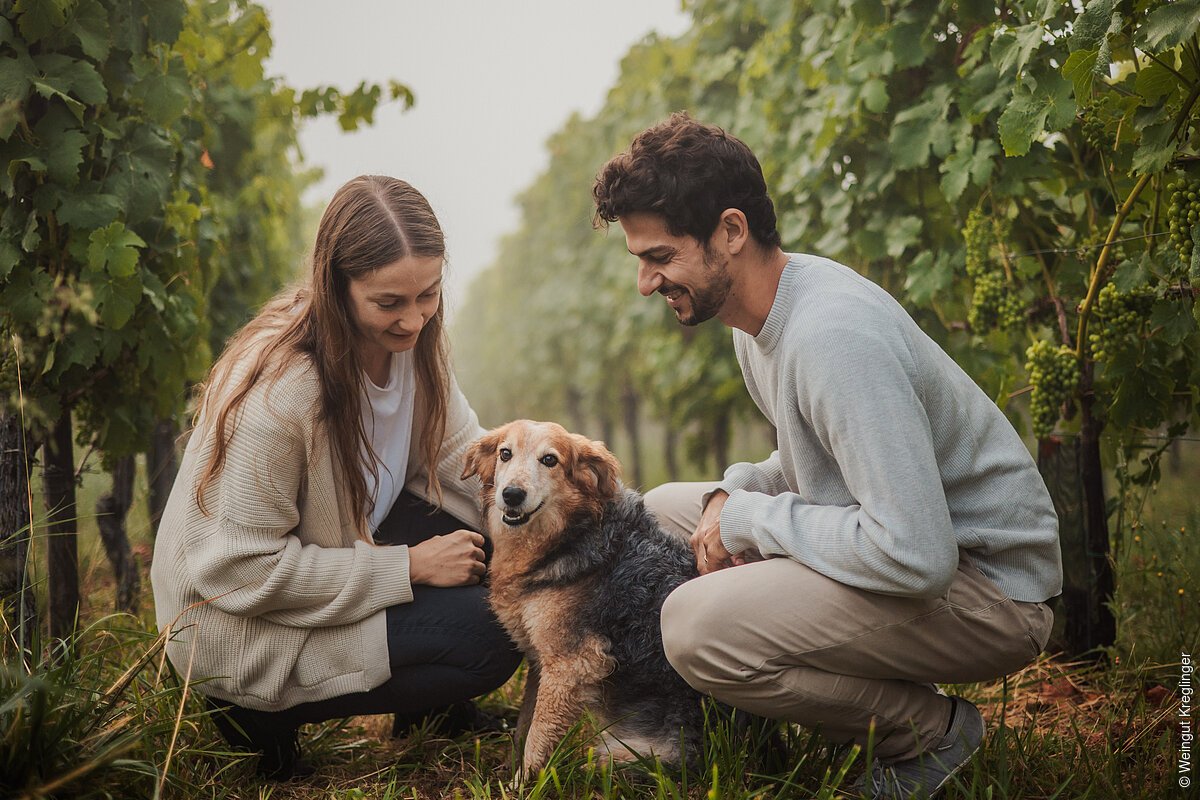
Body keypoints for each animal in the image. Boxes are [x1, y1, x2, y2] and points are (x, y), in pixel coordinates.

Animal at [456, 419, 700, 777]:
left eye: (550, 460)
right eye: (505, 454)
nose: (512, 495)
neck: (573, 535)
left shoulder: (571, 664)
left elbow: (537, 737)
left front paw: (523, 782)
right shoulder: (539, 660)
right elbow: (523, 726)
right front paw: (510, 772)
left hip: (624, 753)